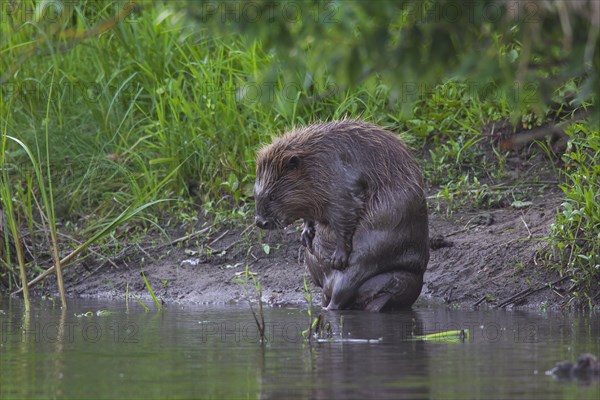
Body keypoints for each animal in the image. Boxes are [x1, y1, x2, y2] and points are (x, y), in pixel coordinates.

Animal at [255, 120, 428, 310]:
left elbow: (346, 213)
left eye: (272, 196)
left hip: (368, 253)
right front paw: (306, 234)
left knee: (343, 289)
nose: (260, 222)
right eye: (255, 193)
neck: (315, 161)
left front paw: (338, 257)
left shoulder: (340, 183)